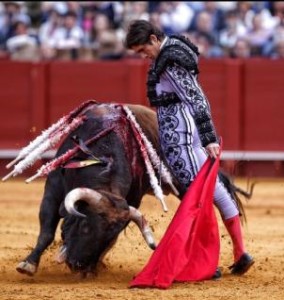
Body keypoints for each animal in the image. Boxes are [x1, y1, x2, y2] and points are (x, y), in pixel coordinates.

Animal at [2, 100, 254, 276]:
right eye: (85, 226)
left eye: (108, 235)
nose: (77, 265)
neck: (102, 155)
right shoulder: (53, 190)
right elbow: (46, 231)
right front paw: (28, 264)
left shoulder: (132, 198)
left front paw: (93, 267)